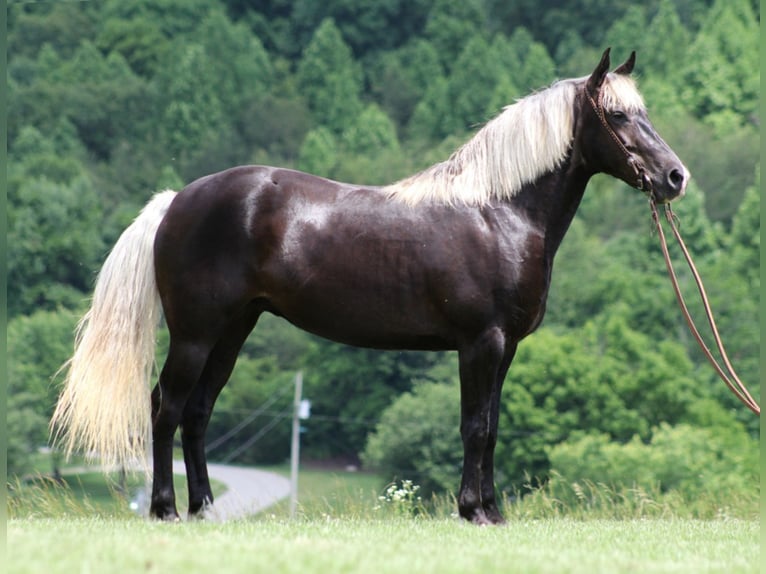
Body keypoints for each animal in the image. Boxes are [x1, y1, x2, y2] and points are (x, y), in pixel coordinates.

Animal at [51, 49, 689, 525]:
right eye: (619, 117)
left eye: (643, 112)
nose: (675, 177)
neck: (497, 212)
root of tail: (176, 200)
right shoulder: (479, 344)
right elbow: (474, 427)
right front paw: (472, 511)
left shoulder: (504, 349)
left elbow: (491, 428)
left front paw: (492, 510)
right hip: (195, 334)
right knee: (166, 407)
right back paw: (164, 509)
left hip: (232, 331)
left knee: (199, 412)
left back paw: (204, 509)